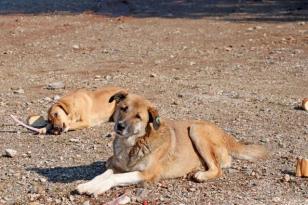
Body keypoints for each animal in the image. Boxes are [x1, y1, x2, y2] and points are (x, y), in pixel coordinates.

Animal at [76, 91, 268, 195]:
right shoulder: (118, 166)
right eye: (123, 108)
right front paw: (88, 185)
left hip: (196, 129)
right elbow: (104, 174)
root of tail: (226, 135)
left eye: (138, 116)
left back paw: (201, 174)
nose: (120, 126)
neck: (132, 144)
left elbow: (115, 178)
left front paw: (96, 189)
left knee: (218, 168)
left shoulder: (147, 174)